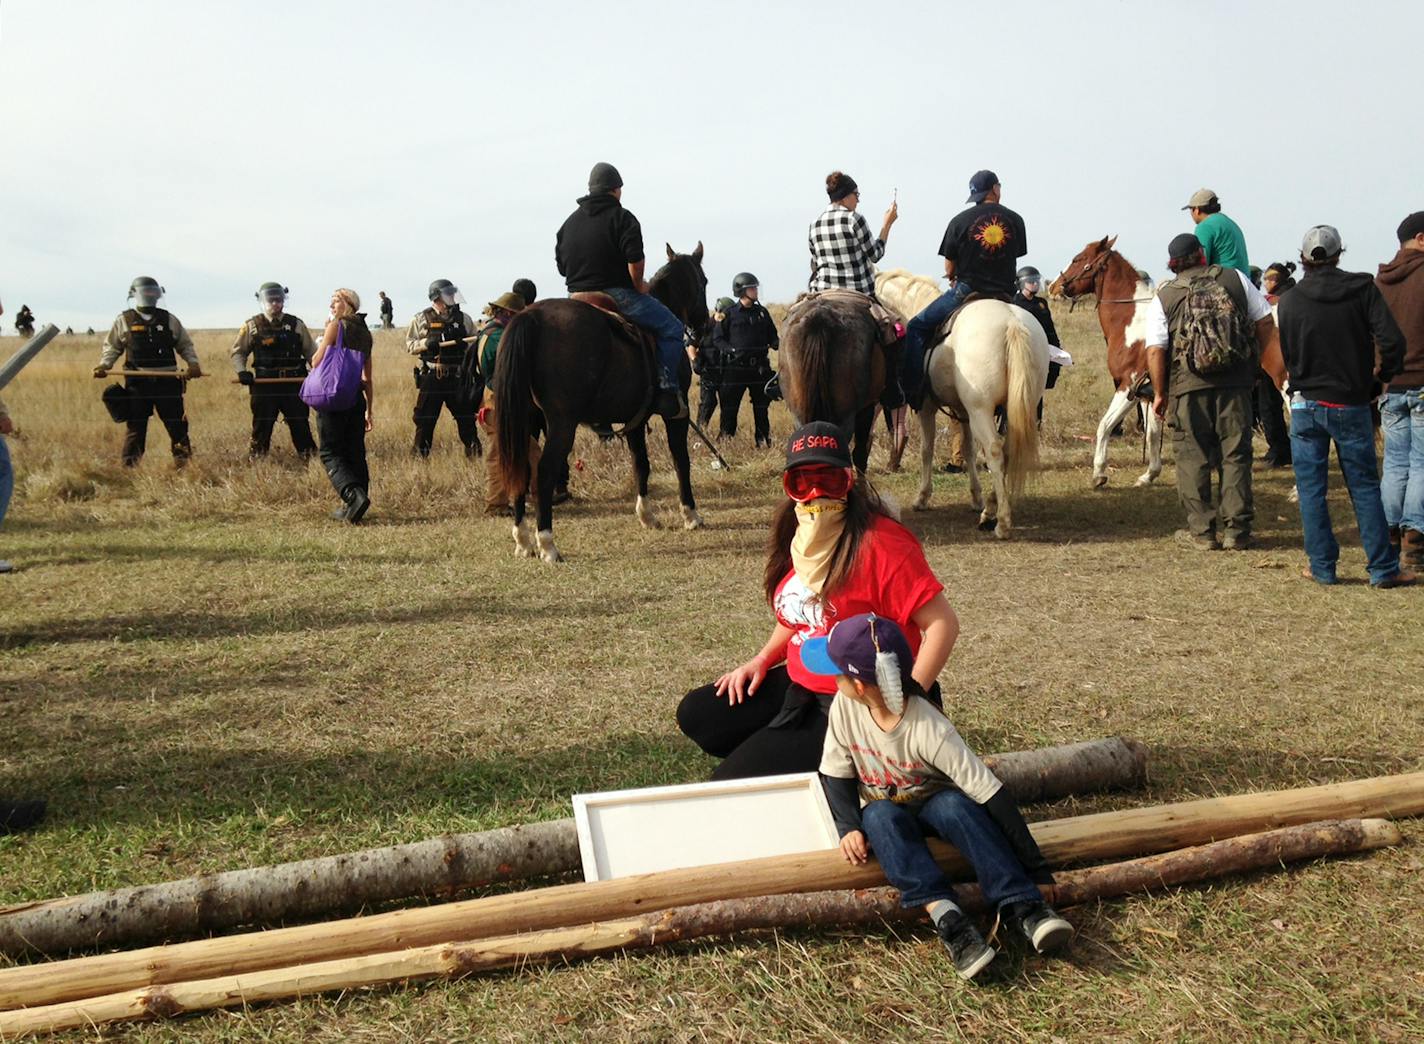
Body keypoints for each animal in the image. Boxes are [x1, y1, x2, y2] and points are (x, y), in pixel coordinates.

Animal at [495, 243, 712, 561]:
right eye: (704, 282)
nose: (705, 325)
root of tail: (529, 316)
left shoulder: (635, 418)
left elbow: (640, 463)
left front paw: (647, 516)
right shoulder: (677, 414)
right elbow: (680, 460)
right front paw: (691, 515)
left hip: (527, 420)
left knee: (521, 468)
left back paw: (523, 540)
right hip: (562, 423)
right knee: (544, 472)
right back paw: (547, 543)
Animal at [871, 269, 1053, 538]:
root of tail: (1012, 323)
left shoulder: (927, 407)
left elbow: (927, 449)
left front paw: (922, 497)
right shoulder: (962, 410)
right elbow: (967, 449)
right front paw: (976, 497)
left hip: (981, 410)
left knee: (995, 451)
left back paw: (1001, 521)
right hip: (1017, 407)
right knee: (1007, 450)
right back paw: (990, 508)